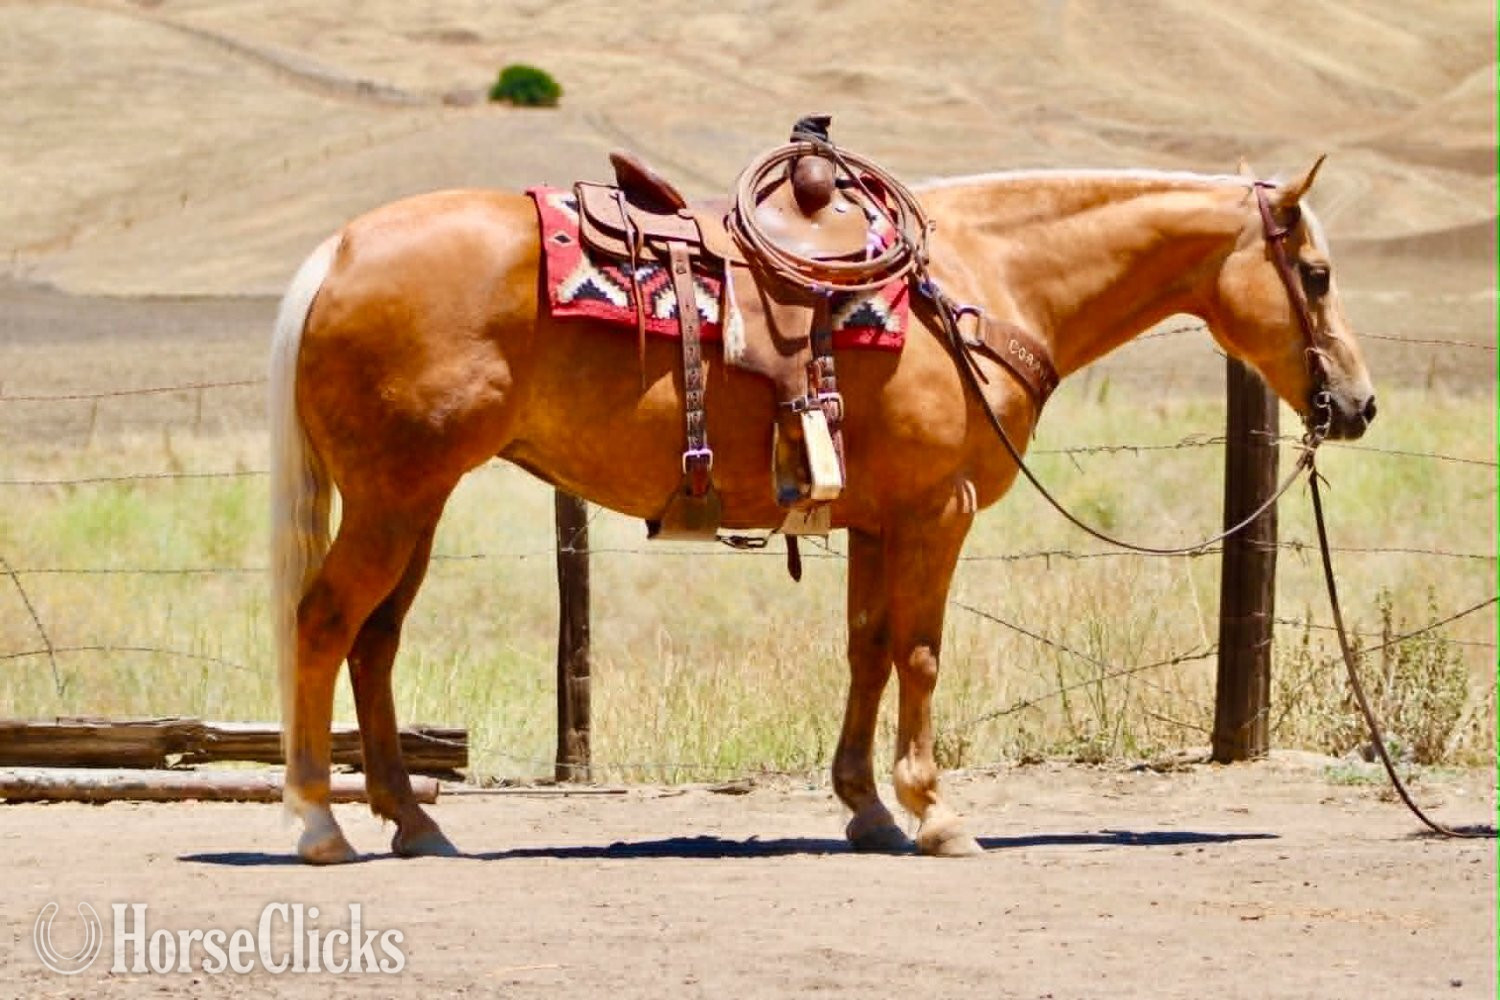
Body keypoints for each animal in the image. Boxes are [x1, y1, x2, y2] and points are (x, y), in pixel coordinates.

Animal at [269, 159, 1375, 863]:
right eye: (1317, 275)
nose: (1356, 405)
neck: (979, 281)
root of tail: (339, 251)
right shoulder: (938, 511)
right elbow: (920, 654)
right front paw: (937, 814)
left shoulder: (880, 521)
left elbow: (868, 650)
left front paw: (867, 808)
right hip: (393, 501)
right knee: (324, 625)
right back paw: (320, 825)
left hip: (415, 504)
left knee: (374, 643)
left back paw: (415, 824)